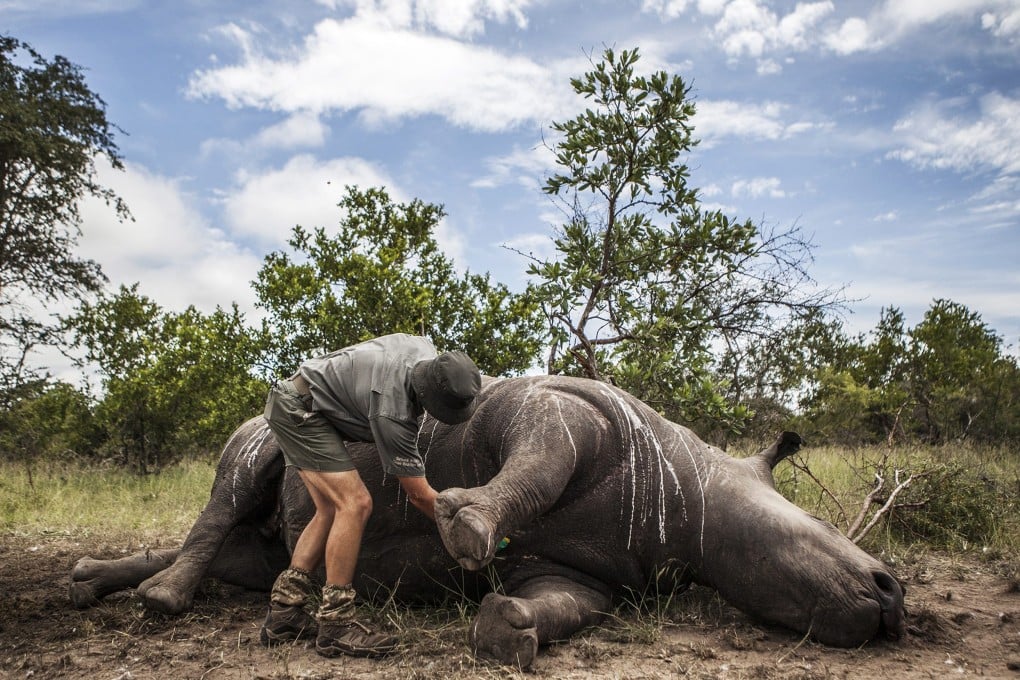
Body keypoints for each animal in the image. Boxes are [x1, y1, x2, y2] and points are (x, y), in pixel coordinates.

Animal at [69, 375, 905, 667]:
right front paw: (464, 521)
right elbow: (537, 459)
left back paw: (95, 586)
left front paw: (507, 631)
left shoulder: (592, 571)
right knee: (236, 479)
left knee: (254, 555)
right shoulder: (563, 407)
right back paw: (161, 603)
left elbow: (564, 602)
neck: (694, 485)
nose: (892, 594)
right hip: (268, 420)